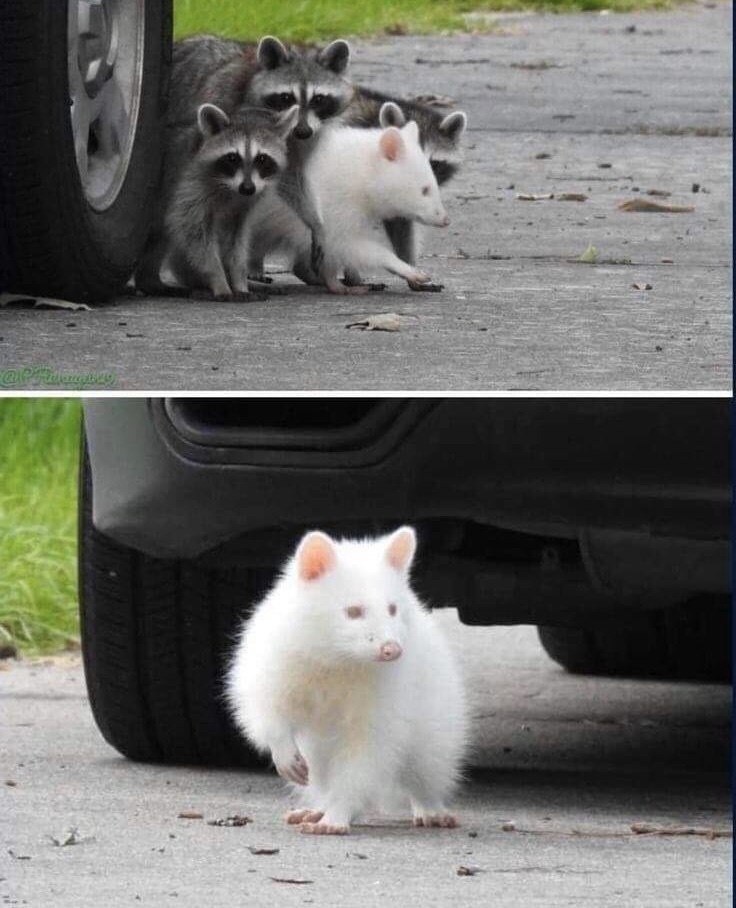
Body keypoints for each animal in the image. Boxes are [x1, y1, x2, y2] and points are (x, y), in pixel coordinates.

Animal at [136, 103, 298, 299]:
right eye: (232, 158)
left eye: (262, 158)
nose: (247, 188)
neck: (230, 188)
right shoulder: (190, 185)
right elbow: (193, 231)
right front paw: (218, 280)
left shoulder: (245, 204)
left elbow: (236, 240)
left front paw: (239, 280)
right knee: (161, 233)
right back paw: (150, 280)